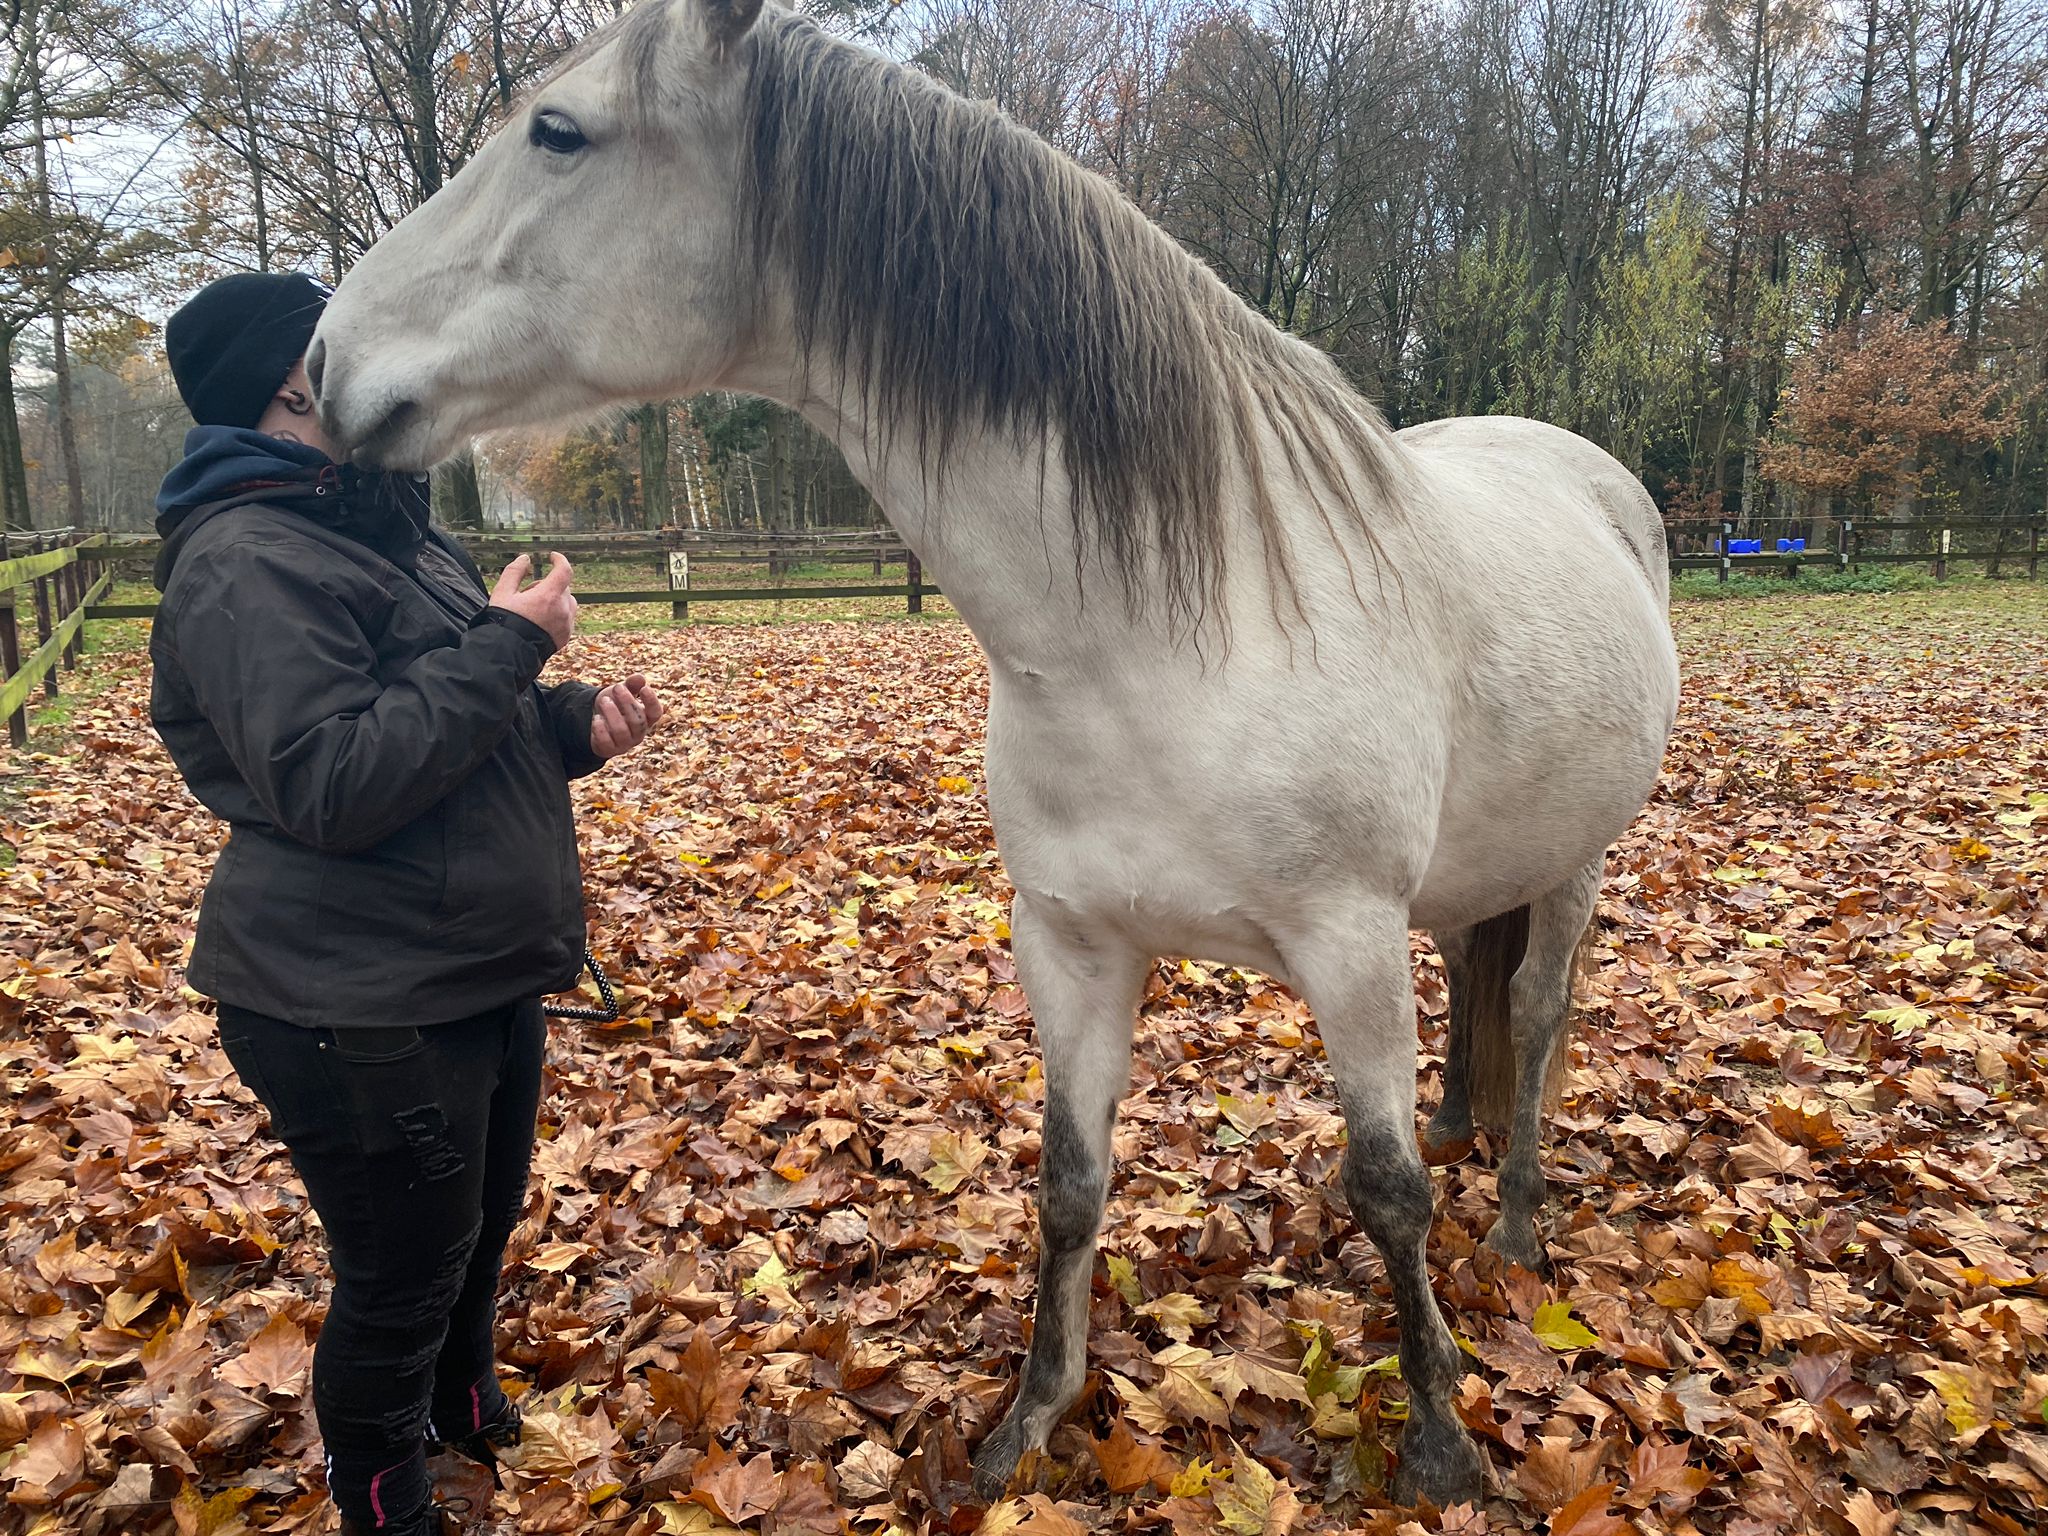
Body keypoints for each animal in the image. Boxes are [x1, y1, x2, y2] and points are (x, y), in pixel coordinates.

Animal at [307, 0, 1679, 1507]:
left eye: (559, 132)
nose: (326, 362)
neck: (1172, 630)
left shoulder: (1346, 942)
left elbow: (1385, 1194)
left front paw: (1439, 1440)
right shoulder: (1070, 939)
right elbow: (1071, 1182)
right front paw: (1029, 1422)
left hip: (1574, 862)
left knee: (1538, 1019)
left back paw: (1513, 1229)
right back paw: (1457, 1131)